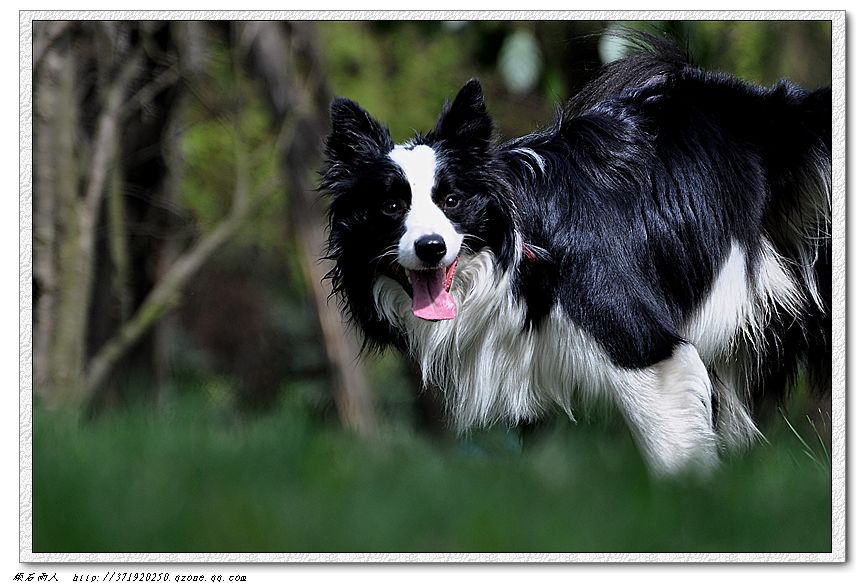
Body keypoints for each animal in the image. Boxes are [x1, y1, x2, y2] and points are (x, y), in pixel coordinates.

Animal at [318, 36, 832, 476]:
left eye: (451, 200)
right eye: (391, 206)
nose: (431, 247)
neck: (520, 255)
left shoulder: (645, 351)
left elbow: (674, 452)